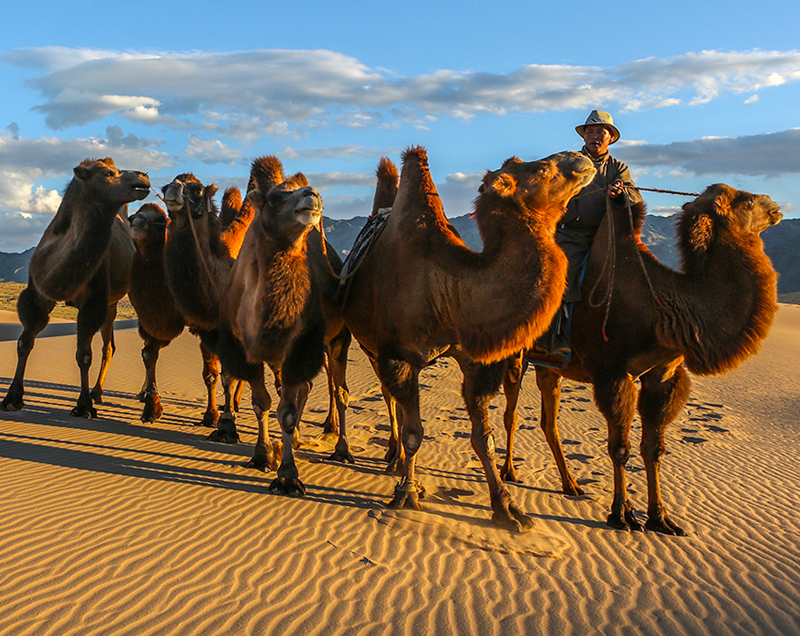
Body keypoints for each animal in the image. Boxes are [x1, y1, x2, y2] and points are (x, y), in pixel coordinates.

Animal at [1, 158, 150, 417]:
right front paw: (12, 398)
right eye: (108, 173)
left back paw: (129, 394)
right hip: (111, 303)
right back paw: (98, 392)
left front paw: (83, 406)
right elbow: (23, 343)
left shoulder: (93, 300)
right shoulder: (36, 294)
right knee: (109, 345)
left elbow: (84, 354)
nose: (143, 176)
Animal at [216, 164, 352, 491]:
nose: (312, 193)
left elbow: (287, 412)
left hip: (337, 339)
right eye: (276, 198)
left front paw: (288, 475)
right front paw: (262, 455)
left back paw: (341, 450)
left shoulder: (299, 349)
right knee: (305, 388)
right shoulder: (244, 349)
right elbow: (261, 403)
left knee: (339, 391)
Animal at [342, 147, 596, 531]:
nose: (583, 158)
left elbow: (484, 438)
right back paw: (393, 456)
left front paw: (507, 507)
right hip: (370, 348)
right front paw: (407, 494)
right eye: (542, 169)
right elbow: (414, 432)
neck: (446, 289)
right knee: (389, 399)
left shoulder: (475, 360)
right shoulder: (398, 355)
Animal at [502, 184, 782, 535]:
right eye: (748, 201)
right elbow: (620, 449)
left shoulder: (662, 375)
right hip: (514, 356)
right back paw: (509, 472)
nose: (775, 206)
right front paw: (621, 514)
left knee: (548, 420)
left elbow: (653, 449)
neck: (661, 308)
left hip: (549, 366)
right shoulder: (612, 373)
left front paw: (661, 518)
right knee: (510, 413)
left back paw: (571, 485)